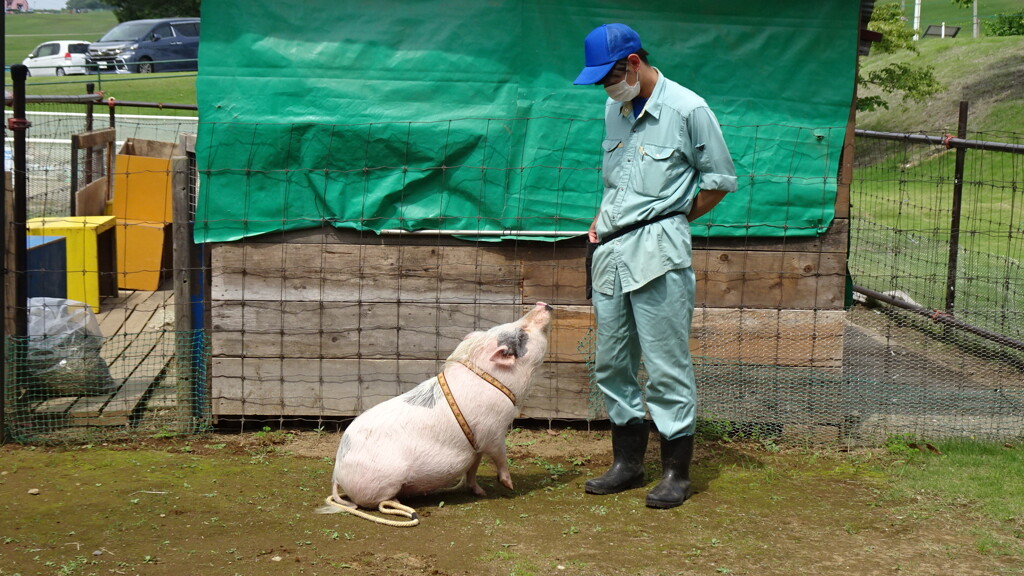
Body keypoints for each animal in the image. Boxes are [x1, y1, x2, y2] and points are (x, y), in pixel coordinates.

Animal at [321, 301, 557, 510]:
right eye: (522, 333)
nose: (543, 303)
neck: (496, 381)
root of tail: (337, 473)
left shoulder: (476, 444)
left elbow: (473, 467)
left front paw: (480, 492)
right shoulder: (493, 431)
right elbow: (500, 455)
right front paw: (510, 485)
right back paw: (398, 502)